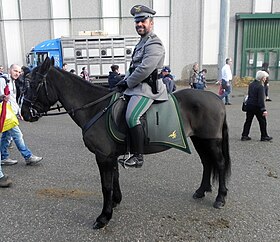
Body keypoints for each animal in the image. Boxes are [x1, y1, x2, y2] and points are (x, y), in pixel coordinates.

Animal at [20, 56, 231, 229]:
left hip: (210, 141)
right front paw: (115, 202)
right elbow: (115, 178)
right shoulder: (110, 156)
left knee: (219, 164)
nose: (24, 113)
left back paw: (220, 197)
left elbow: (106, 185)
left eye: (34, 84)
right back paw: (201, 191)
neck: (96, 107)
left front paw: (104, 217)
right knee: (207, 163)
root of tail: (216, 99)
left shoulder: (103, 156)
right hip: (200, 140)